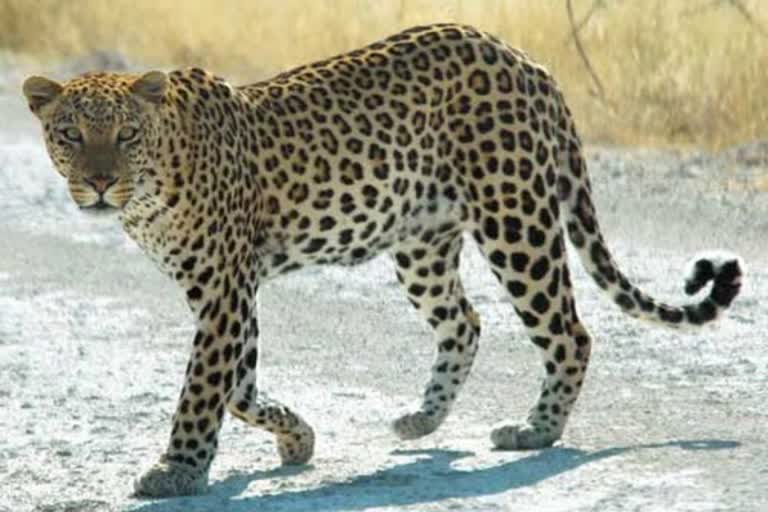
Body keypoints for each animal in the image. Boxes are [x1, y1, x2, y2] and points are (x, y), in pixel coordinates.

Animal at [24, 24, 744, 496]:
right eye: (69, 135)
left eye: (125, 135)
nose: (98, 184)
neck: (151, 187)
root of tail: (526, 61)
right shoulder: (227, 290)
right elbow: (239, 387)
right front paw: (297, 439)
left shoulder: (224, 289)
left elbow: (205, 388)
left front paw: (177, 469)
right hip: (421, 243)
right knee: (466, 322)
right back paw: (423, 418)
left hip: (516, 219)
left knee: (569, 330)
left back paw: (535, 431)